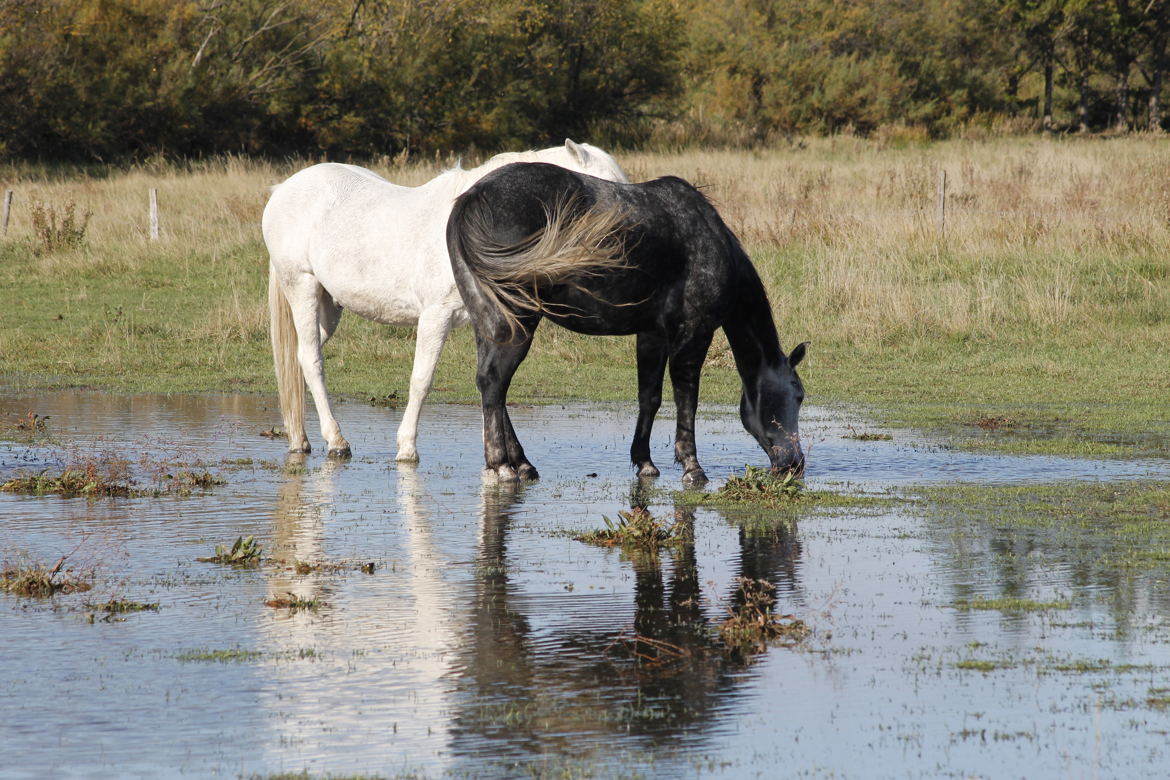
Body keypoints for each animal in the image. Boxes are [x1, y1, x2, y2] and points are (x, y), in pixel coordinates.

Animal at [265, 137, 631, 460]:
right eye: (606, 186)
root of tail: (283, 190)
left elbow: (493, 381)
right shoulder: (435, 317)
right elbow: (422, 380)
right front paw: (407, 448)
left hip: (330, 306)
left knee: (298, 358)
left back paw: (300, 439)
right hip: (302, 286)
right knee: (311, 360)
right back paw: (336, 441)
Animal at [442, 162, 809, 484]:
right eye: (799, 395)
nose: (795, 463)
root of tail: (472, 198)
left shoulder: (652, 334)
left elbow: (650, 397)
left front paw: (644, 461)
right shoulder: (694, 331)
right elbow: (686, 396)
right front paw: (692, 466)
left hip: (490, 322)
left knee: (491, 383)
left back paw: (521, 463)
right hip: (517, 322)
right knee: (494, 382)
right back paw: (501, 465)